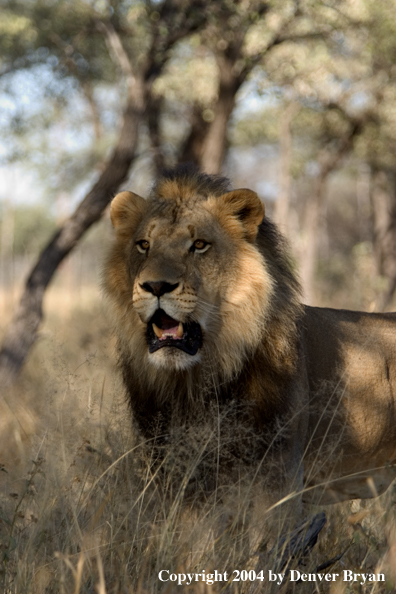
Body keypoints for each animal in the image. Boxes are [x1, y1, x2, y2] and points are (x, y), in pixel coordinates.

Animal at [103, 164, 396, 506]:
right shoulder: (172, 470)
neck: (193, 383)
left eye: (199, 245)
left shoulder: (280, 480)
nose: (156, 286)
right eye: (144, 245)